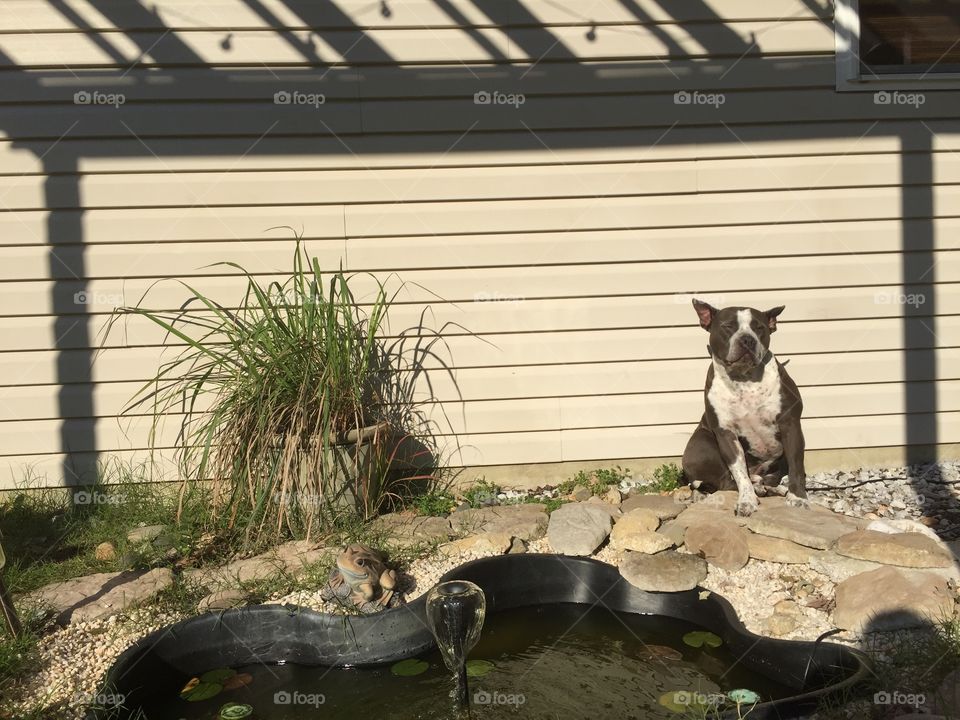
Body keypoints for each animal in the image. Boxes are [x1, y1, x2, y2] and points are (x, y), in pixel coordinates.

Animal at [684, 300, 808, 516]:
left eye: (759, 328)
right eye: (728, 326)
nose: (747, 340)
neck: (744, 379)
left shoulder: (790, 424)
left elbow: (796, 465)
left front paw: (798, 497)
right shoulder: (726, 434)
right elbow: (739, 472)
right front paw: (747, 500)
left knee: (770, 477)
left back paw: (772, 488)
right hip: (704, 445)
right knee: (726, 482)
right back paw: (757, 488)